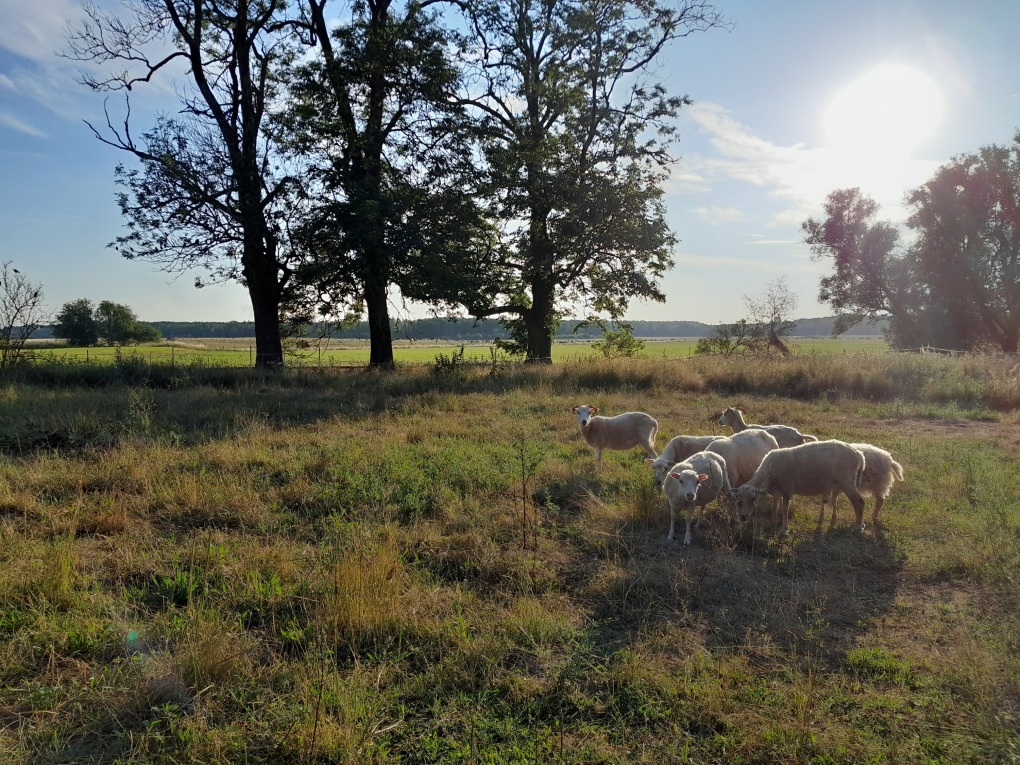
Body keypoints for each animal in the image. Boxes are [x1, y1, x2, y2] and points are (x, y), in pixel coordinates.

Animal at [730, 440, 864, 534]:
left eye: (753, 498)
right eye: (739, 500)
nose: (743, 517)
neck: (769, 473)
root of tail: (859, 455)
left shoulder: (787, 489)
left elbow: (784, 509)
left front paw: (784, 529)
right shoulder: (777, 491)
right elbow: (774, 507)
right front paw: (773, 523)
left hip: (847, 480)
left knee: (859, 502)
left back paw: (858, 527)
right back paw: (858, 524)